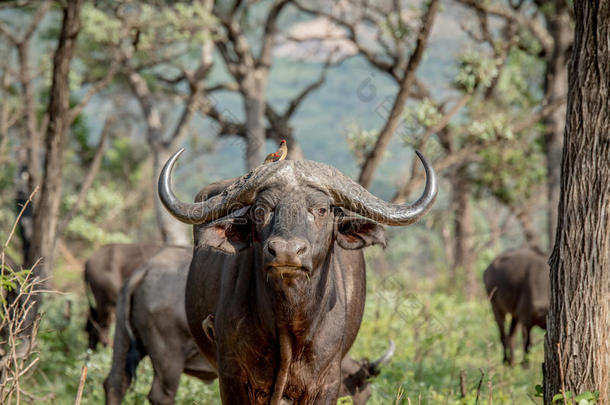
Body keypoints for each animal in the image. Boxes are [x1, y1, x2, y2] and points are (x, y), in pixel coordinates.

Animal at [104, 245, 394, 402]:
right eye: (360, 394)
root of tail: (147, 269)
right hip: (168, 359)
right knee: (161, 394)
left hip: (124, 342)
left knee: (115, 383)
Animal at [157, 150, 432, 402]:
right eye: (261, 209)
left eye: (321, 209)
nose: (286, 252)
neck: (288, 323)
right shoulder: (232, 376)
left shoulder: (328, 382)